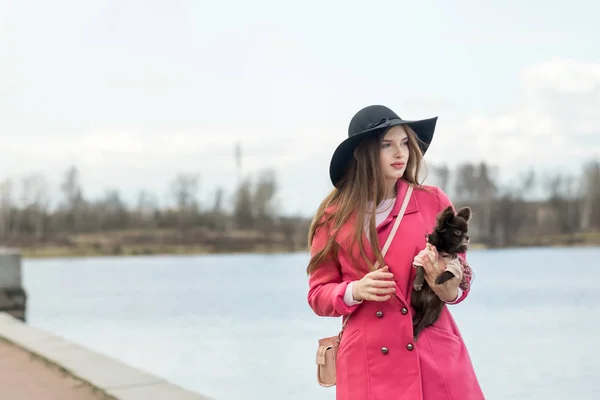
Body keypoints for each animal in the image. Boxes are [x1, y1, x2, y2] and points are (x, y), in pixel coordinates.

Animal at [410, 205, 472, 340]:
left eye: (466, 232)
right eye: (458, 233)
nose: (468, 237)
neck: (443, 250)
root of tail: (426, 304)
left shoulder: (456, 266)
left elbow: (449, 272)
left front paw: (439, 278)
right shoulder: (422, 256)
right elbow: (420, 269)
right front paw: (418, 282)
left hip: (433, 312)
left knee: (423, 323)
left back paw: (416, 332)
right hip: (414, 297)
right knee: (419, 311)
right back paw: (415, 318)